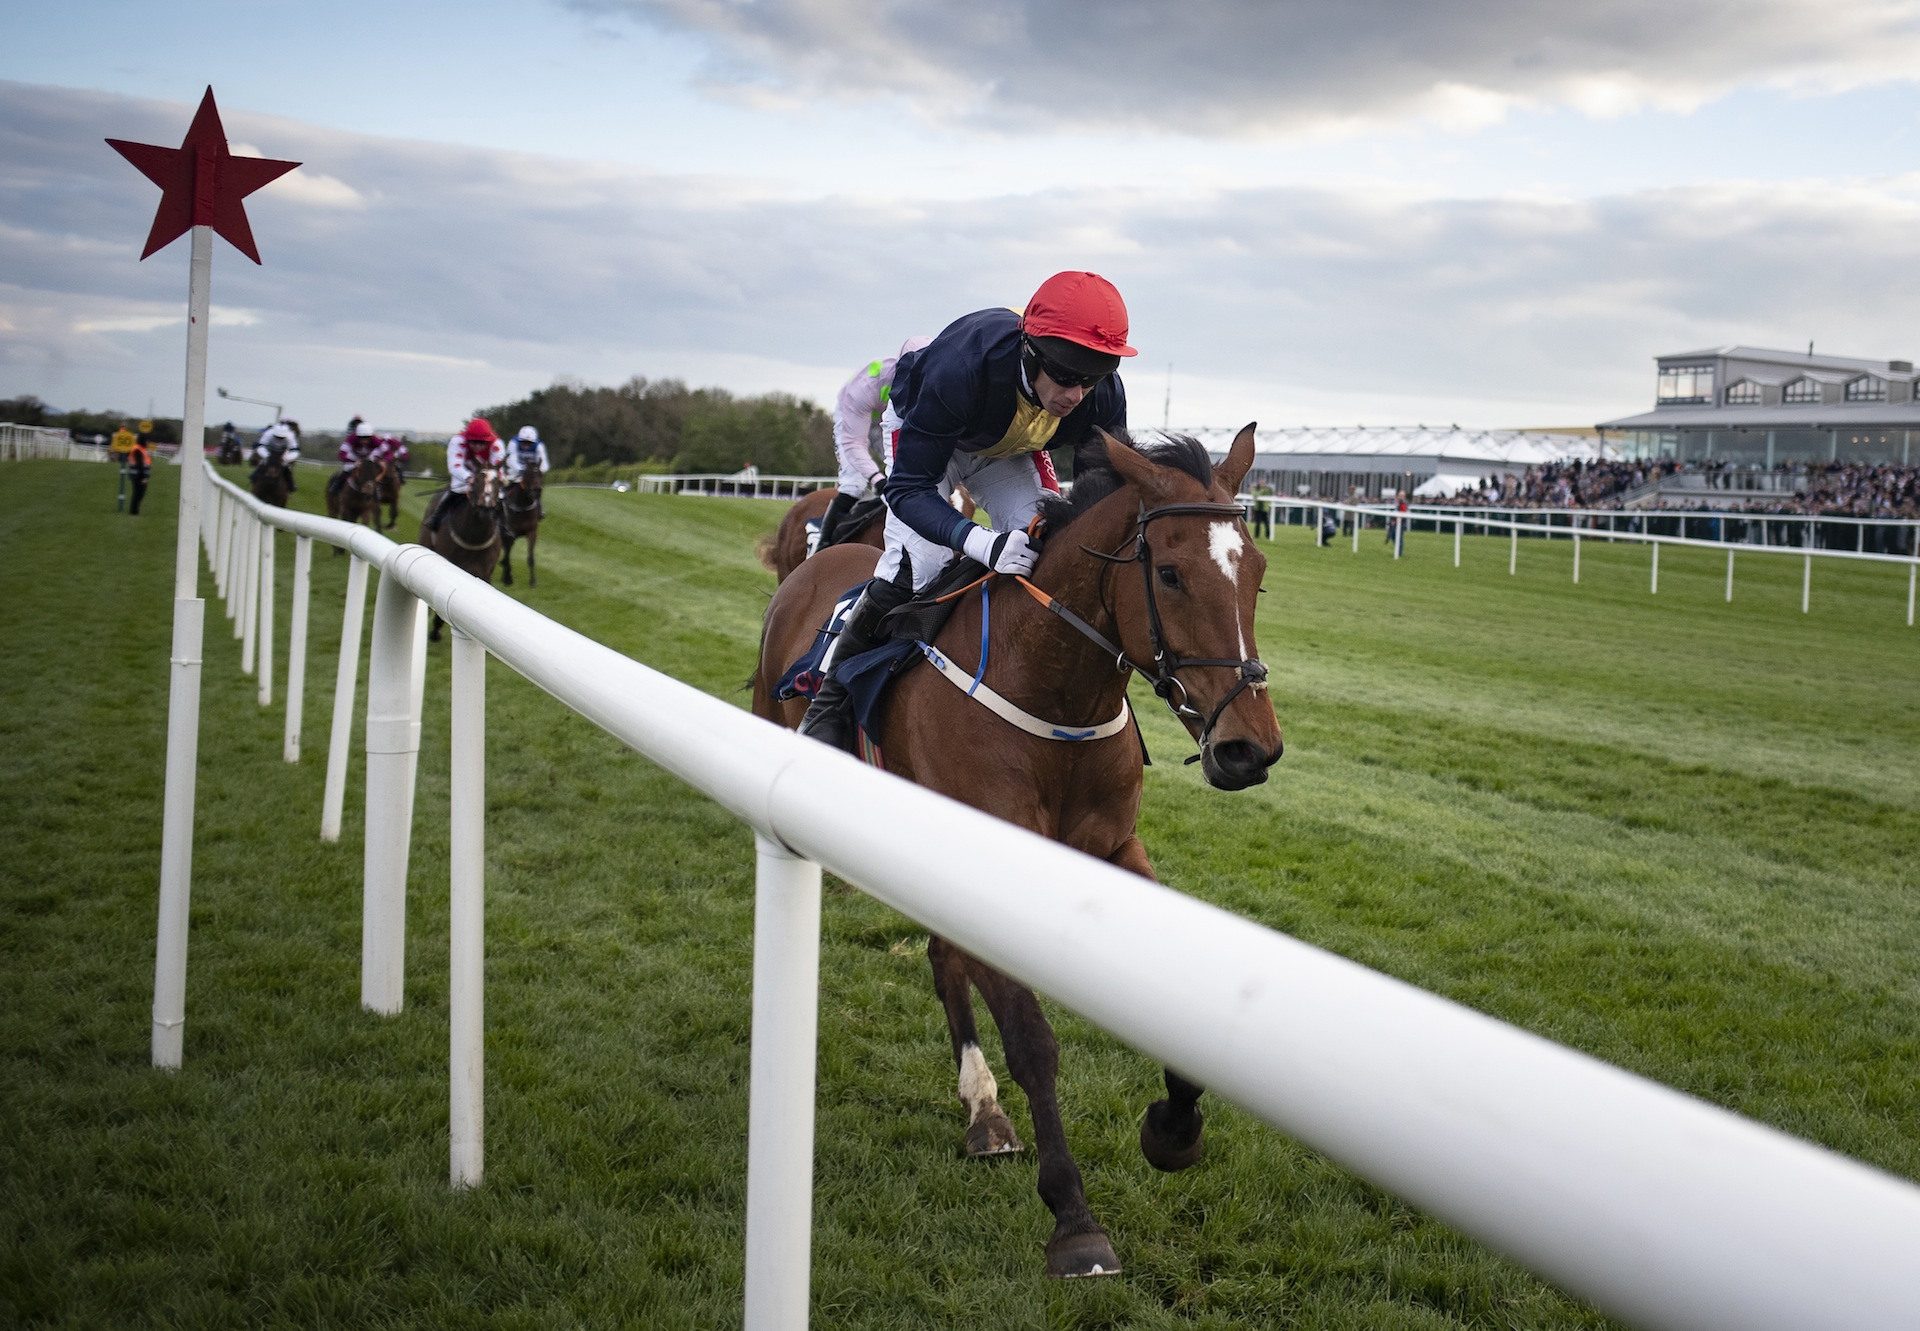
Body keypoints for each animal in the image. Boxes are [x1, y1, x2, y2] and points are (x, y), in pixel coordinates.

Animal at [420, 466, 506, 645]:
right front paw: (435, 631)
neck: (473, 538)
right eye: (477, 480)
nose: (486, 508)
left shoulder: (484, 573)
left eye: (498, 482)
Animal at [756, 426, 1282, 1275]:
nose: (1248, 749)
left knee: (944, 957)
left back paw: (982, 1107)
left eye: (1258, 576)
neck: (1051, 688)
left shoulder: (1113, 849)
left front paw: (1173, 1128)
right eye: (1170, 573)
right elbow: (1034, 1039)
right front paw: (1074, 1216)